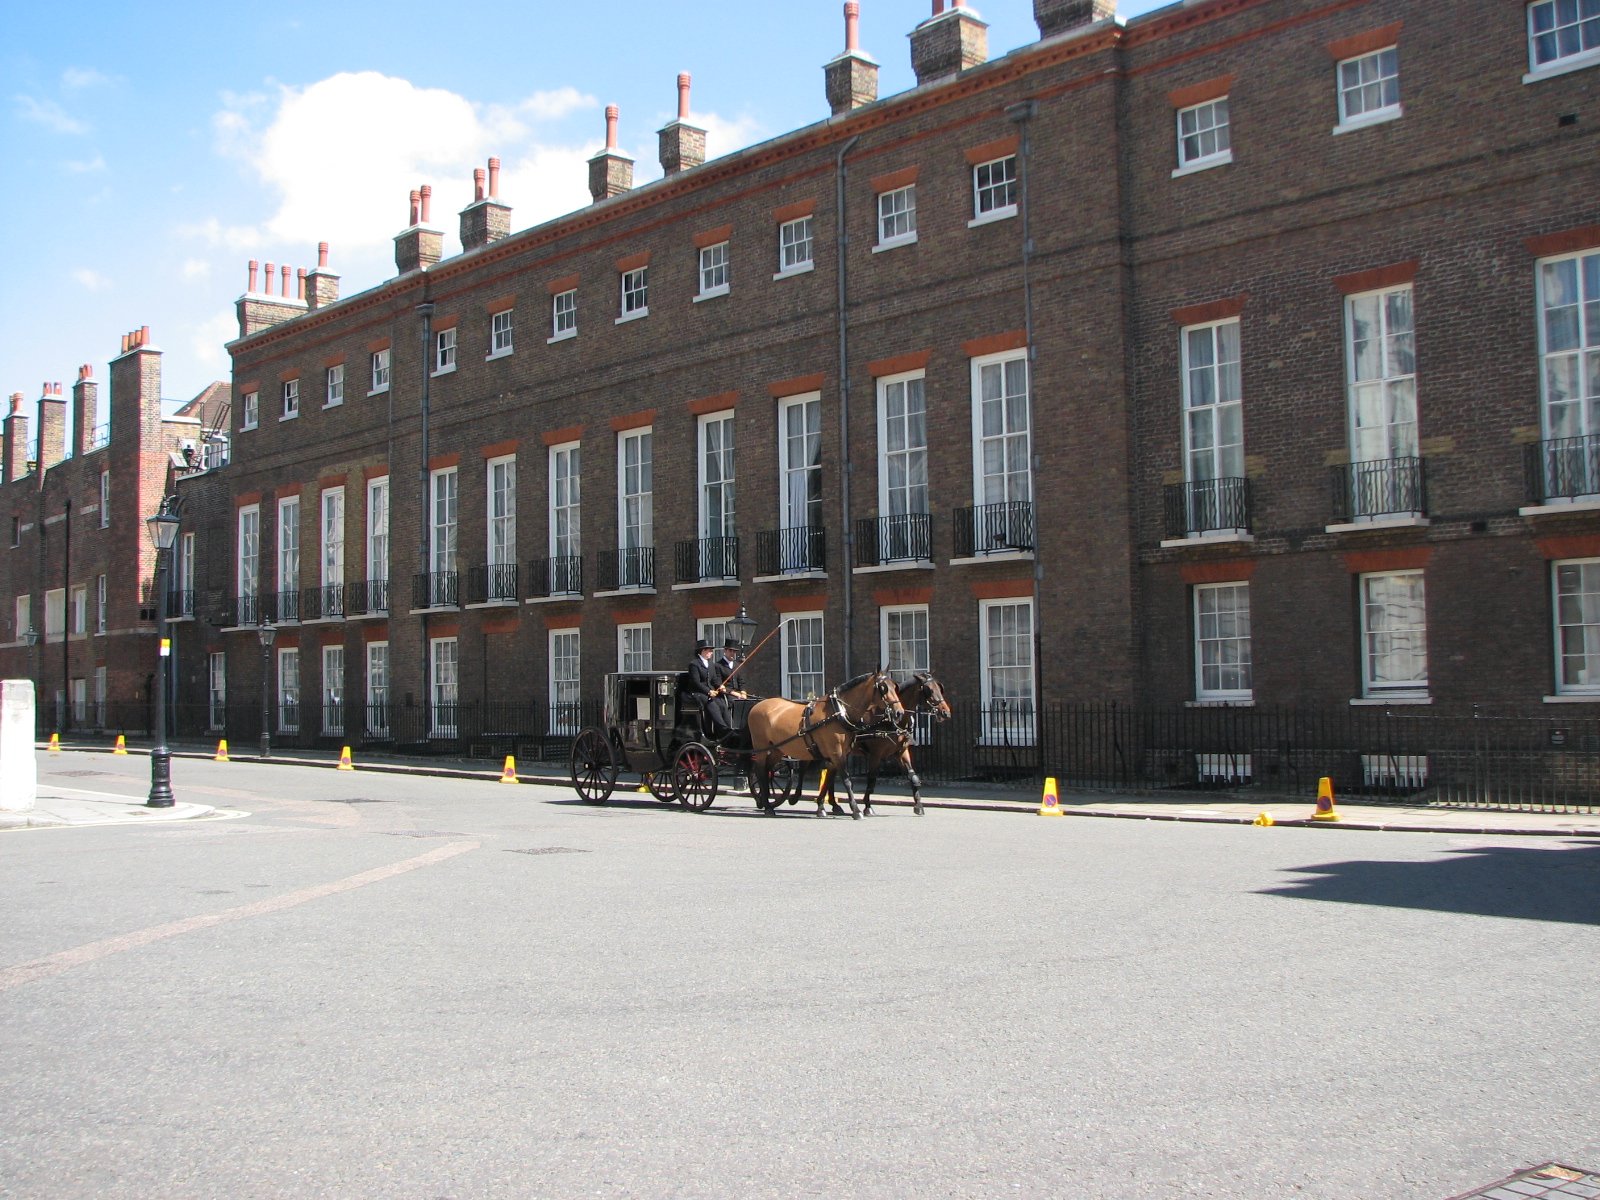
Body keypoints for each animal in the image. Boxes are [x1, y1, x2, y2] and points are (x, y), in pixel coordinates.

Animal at [745, 672, 908, 825]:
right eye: (883, 688)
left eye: (894, 687)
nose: (899, 712)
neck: (839, 712)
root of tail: (757, 706)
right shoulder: (838, 752)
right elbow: (847, 780)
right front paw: (856, 810)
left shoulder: (840, 754)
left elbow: (831, 778)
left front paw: (824, 806)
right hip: (762, 747)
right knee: (761, 772)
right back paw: (768, 806)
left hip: (777, 750)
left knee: (767, 772)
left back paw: (766, 801)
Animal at [857, 678, 953, 819]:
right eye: (928, 690)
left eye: (939, 688)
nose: (945, 712)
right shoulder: (875, 754)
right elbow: (871, 779)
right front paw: (868, 806)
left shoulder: (901, 752)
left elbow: (912, 775)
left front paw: (919, 806)